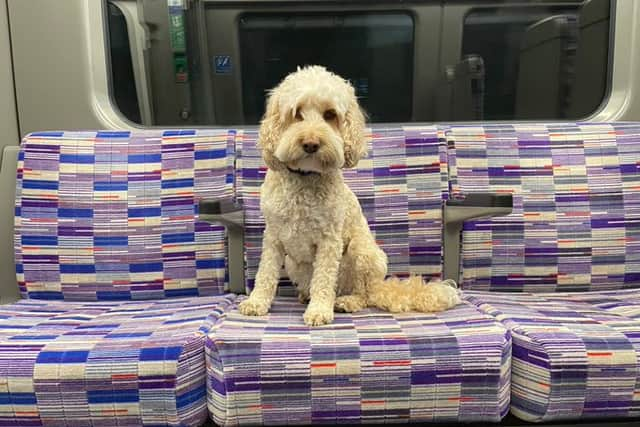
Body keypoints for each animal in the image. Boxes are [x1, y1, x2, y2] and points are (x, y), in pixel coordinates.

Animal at [239, 65, 460, 326]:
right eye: (296, 113)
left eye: (330, 114)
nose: (311, 143)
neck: (305, 179)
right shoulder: (273, 236)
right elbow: (265, 273)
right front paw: (256, 303)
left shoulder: (329, 240)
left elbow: (324, 279)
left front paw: (319, 311)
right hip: (294, 264)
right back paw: (305, 295)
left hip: (363, 253)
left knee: (364, 293)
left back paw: (346, 301)